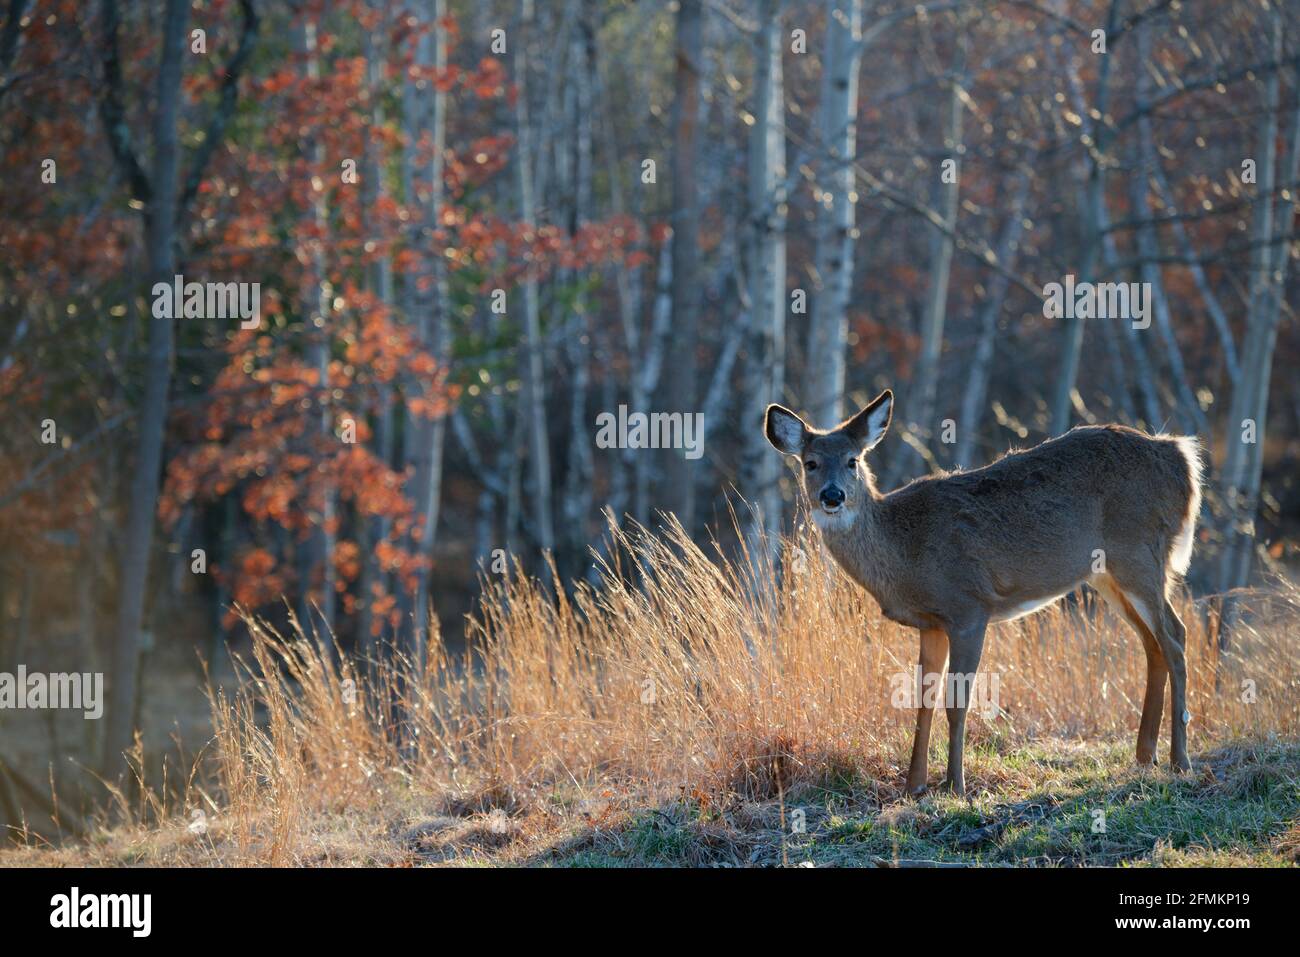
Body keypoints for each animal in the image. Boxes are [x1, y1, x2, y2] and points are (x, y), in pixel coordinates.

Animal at [764, 390, 1201, 800]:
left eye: (853, 460)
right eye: (810, 462)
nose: (832, 496)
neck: (905, 550)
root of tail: (1181, 459)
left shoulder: (969, 608)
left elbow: (957, 702)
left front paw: (954, 786)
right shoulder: (930, 624)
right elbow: (923, 700)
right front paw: (914, 786)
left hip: (1138, 552)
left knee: (1175, 636)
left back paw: (1180, 759)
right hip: (1107, 574)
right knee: (1153, 643)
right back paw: (1145, 755)